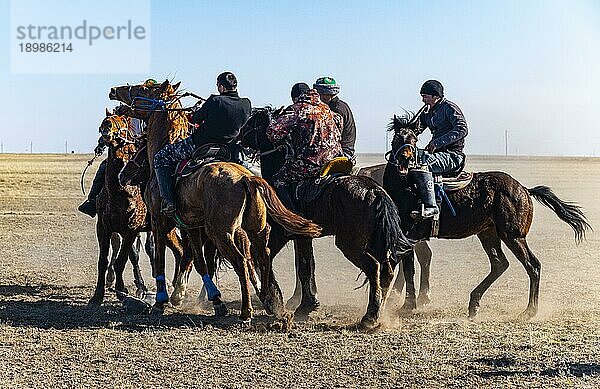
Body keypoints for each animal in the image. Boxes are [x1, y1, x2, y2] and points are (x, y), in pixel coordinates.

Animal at [110, 79, 322, 322]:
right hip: (254, 230)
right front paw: (214, 299)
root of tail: (247, 178)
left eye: (144, 88)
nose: (114, 92)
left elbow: (161, 260)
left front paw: (162, 301)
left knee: (242, 261)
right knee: (262, 257)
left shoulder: (158, 221)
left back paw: (247, 311)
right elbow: (199, 262)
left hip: (221, 232)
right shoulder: (192, 226)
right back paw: (272, 303)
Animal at [238, 106, 412, 328]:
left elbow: (270, 260)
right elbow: (307, 267)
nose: (239, 135)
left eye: (253, 122)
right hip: (376, 241)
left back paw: (370, 318)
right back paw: (379, 312)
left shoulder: (278, 235)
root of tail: (374, 191)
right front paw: (306, 305)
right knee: (387, 270)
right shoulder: (303, 238)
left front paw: (277, 302)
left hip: (350, 244)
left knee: (373, 268)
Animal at [384, 111, 592, 318]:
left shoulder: (411, 235)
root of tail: (524, 189)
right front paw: (406, 303)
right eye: (397, 138)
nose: (406, 158)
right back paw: (474, 303)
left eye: (414, 139)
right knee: (500, 264)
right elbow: (407, 267)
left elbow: (407, 268)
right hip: (488, 233)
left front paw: (406, 305)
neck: (407, 186)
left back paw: (529, 311)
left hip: (513, 236)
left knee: (532, 265)